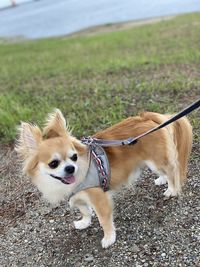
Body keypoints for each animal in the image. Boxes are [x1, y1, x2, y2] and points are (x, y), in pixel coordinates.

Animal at [15, 109, 192, 249]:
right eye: (53, 163)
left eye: (74, 157)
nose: (71, 168)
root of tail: (144, 116)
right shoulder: (78, 196)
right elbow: (85, 210)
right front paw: (84, 222)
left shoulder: (99, 198)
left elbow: (104, 220)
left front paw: (109, 238)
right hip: (149, 162)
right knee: (164, 172)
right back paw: (161, 180)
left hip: (156, 161)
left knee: (172, 171)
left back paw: (172, 189)